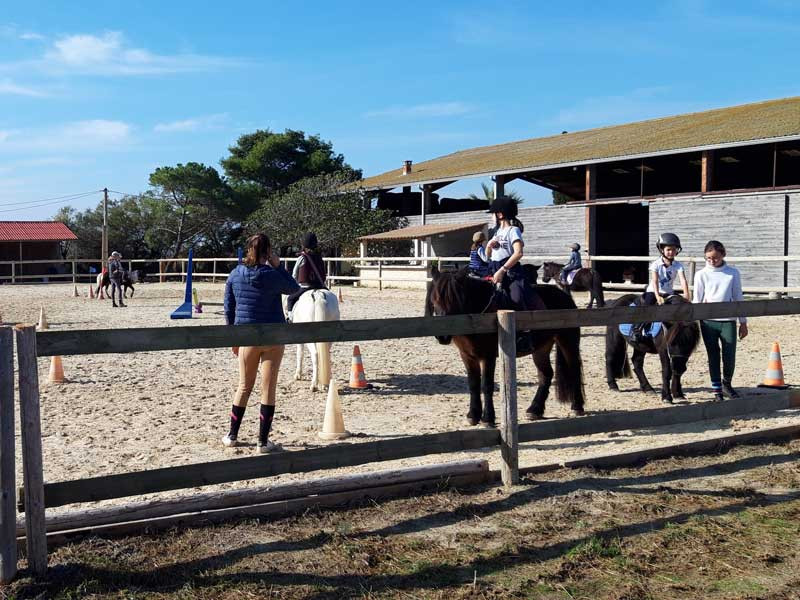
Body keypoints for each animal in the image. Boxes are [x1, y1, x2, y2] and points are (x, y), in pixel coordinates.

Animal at [424, 268, 588, 426]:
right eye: (435, 299)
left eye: (454, 298)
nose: (442, 336)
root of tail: (565, 296)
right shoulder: (467, 356)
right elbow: (473, 384)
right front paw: (473, 415)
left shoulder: (488, 356)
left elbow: (487, 385)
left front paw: (488, 418)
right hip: (541, 349)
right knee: (546, 374)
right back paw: (534, 410)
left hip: (567, 342)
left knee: (574, 369)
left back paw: (577, 406)